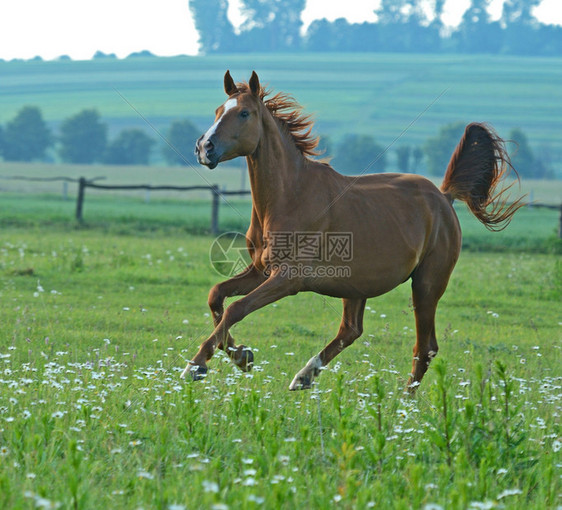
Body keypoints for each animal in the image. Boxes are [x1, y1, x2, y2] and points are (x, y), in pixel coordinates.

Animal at [180, 70, 520, 390]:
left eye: (244, 113)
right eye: (218, 110)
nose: (204, 147)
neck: (290, 195)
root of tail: (444, 197)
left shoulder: (288, 278)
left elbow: (236, 308)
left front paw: (196, 366)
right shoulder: (261, 270)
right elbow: (216, 296)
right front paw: (243, 357)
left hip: (426, 284)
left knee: (425, 348)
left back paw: (402, 403)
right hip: (356, 285)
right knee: (352, 330)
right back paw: (304, 376)